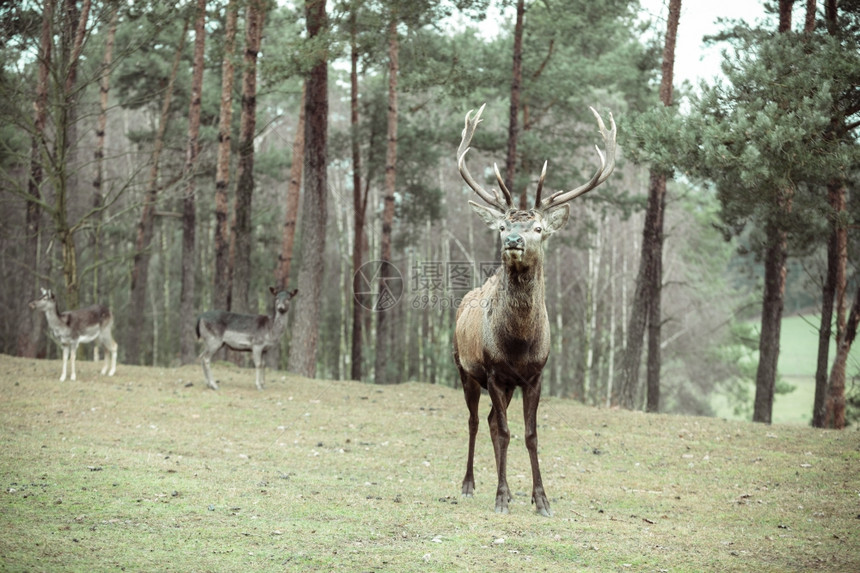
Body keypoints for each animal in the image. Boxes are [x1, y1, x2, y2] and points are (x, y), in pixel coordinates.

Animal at [454, 105, 616, 516]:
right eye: (502, 225)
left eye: (539, 228)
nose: (513, 240)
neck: (518, 343)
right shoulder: (494, 372)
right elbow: (506, 432)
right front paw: (501, 497)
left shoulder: (535, 375)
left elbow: (529, 434)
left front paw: (540, 498)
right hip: (464, 369)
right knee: (476, 422)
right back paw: (470, 484)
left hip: (507, 385)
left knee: (491, 421)